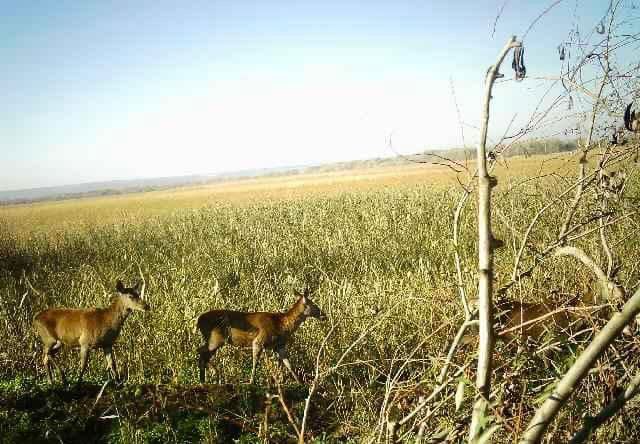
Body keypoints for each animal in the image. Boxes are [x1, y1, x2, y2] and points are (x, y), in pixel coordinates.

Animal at [196, 288, 328, 386]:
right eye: (313, 304)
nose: (324, 315)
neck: (281, 325)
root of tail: (198, 320)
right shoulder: (258, 341)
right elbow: (255, 362)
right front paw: (251, 382)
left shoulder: (279, 346)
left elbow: (288, 364)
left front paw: (300, 383)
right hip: (216, 338)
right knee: (202, 352)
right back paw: (213, 376)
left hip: (212, 338)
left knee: (201, 352)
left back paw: (205, 379)